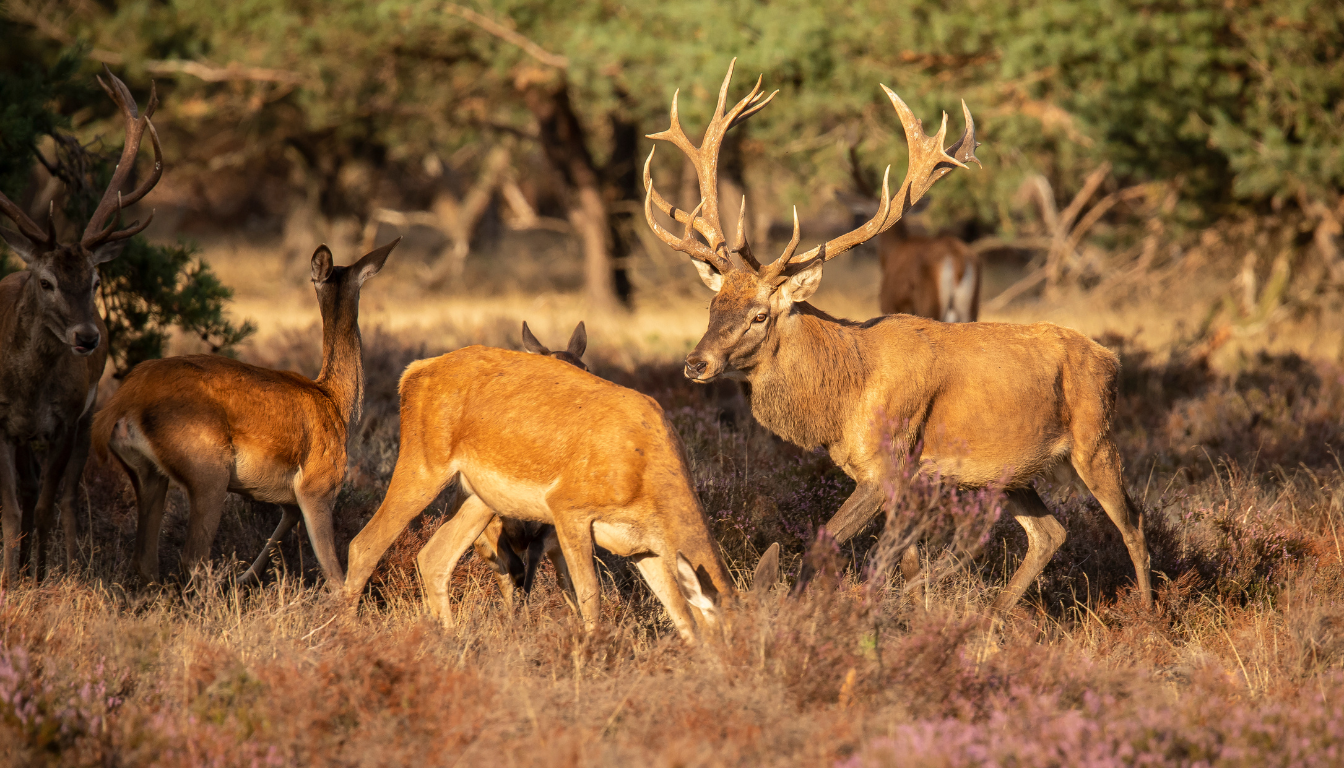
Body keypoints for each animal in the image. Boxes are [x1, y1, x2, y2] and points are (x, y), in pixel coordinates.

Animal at [0, 68, 161, 587]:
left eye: (95, 280)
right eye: (46, 281)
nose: (88, 338)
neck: (26, 389)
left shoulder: (68, 419)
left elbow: (48, 505)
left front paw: (42, 579)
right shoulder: (1, 423)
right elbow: (12, 509)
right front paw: (12, 580)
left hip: (91, 417)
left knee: (65, 496)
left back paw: (67, 566)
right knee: (29, 490)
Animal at [92, 238, 400, 588]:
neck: (336, 402)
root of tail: (122, 401)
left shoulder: (287, 499)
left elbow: (277, 535)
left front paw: (243, 578)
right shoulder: (318, 486)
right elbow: (336, 575)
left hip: (147, 473)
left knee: (145, 561)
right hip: (208, 473)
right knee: (192, 558)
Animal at [344, 344, 778, 643]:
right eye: (731, 637)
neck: (644, 476)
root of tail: (412, 373)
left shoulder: (645, 547)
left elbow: (680, 614)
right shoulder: (569, 507)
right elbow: (588, 594)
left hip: (479, 497)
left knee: (432, 556)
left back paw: (449, 638)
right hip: (423, 463)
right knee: (364, 544)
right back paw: (346, 633)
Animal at [642, 60, 1151, 612]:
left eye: (760, 315)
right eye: (714, 305)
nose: (696, 363)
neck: (841, 398)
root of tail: (1112, 358)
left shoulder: (891, 465)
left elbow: (846, 552)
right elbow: (886, 558)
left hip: (1095, 438)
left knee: (1134, 524)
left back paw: (1148, 615)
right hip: (1011, 470)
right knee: (1050, 532)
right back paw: (995, 617)